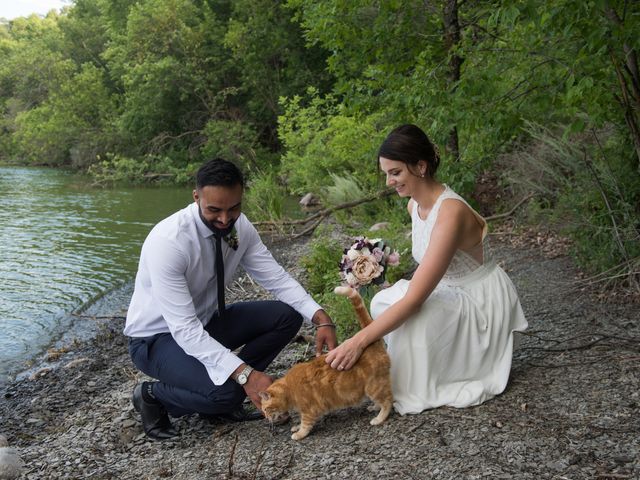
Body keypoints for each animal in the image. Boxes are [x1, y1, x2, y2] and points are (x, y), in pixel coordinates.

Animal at [258, 284, 390, 438]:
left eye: (265, 409)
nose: (266, 418)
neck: (288, 389)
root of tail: (371, 342)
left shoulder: (309, 410)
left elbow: (305, 424)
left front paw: (299, 433)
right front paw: (296, 427)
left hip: (374, 387)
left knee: (387, 401)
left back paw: (379, 418)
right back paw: (374, 407)